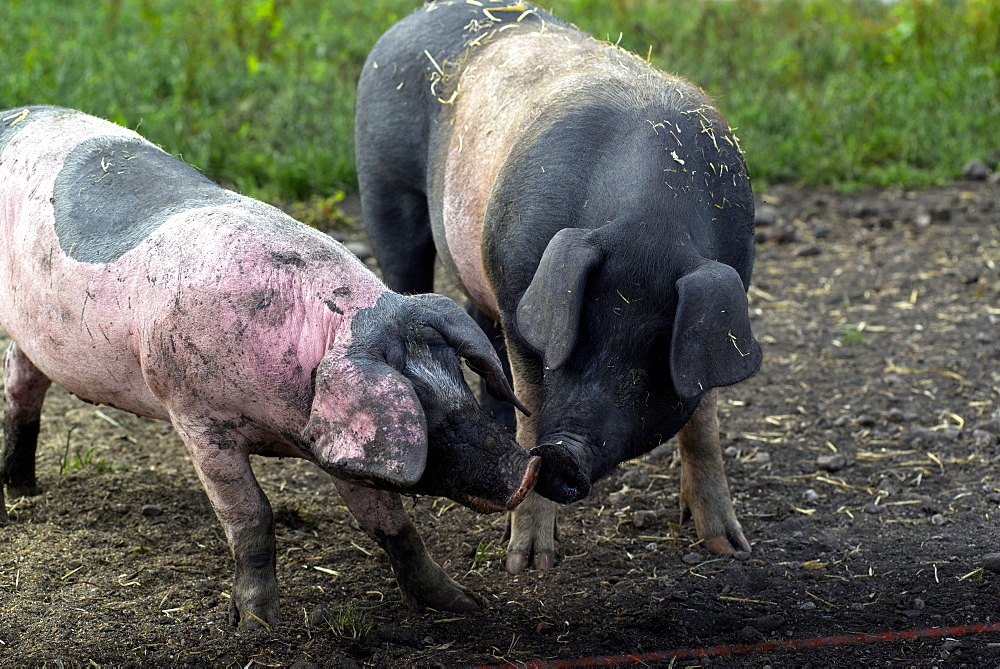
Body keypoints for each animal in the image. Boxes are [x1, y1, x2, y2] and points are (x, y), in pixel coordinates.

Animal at [0, 104, 540, 628]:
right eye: (421, 405)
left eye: (457, 380)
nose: (528, 470)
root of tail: (14, 113)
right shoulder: (195, 415)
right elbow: (252, 516)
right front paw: (257, 626)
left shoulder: (339, 440)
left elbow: (391, 523)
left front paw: (465, 605)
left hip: (33, 340)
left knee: (21, 388)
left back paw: (22, 486)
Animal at [356, 1, 760, 576]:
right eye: (577, 332)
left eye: (657, 355)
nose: (564, 454)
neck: (651, 224)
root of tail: (407, 21)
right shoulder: (522, 297)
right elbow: (532, 408)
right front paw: (527, 565)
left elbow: (702, 424)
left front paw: (729, 547)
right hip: (385, 189)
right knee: (408, 276)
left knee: (479, 325)